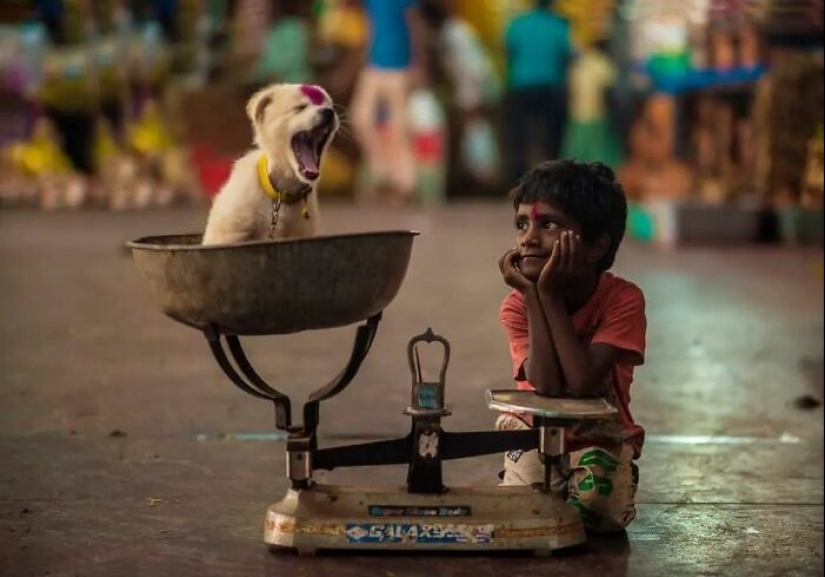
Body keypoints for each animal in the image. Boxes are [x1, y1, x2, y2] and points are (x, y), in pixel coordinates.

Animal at [201, 83, 340, 243]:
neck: (281, 194)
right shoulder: (229, 231)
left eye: (330, 107)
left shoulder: (300, 232)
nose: (329, 112)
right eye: (300, 108)